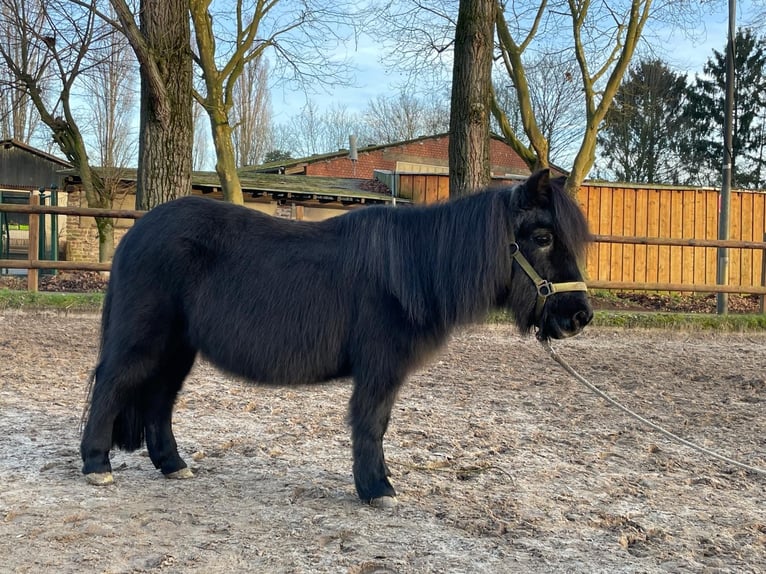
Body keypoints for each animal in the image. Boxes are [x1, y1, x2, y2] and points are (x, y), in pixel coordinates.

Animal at [81, 169, 592, 506]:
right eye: (543, 237)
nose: (579, 315)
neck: (413, 270)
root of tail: (137, 232)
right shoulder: (379, 369)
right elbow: (372, 423)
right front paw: (377, 489)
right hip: (143, 340)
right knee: (111, 386)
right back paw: (96, 466)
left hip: (177, 348)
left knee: (159, 401)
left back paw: (173, 465)